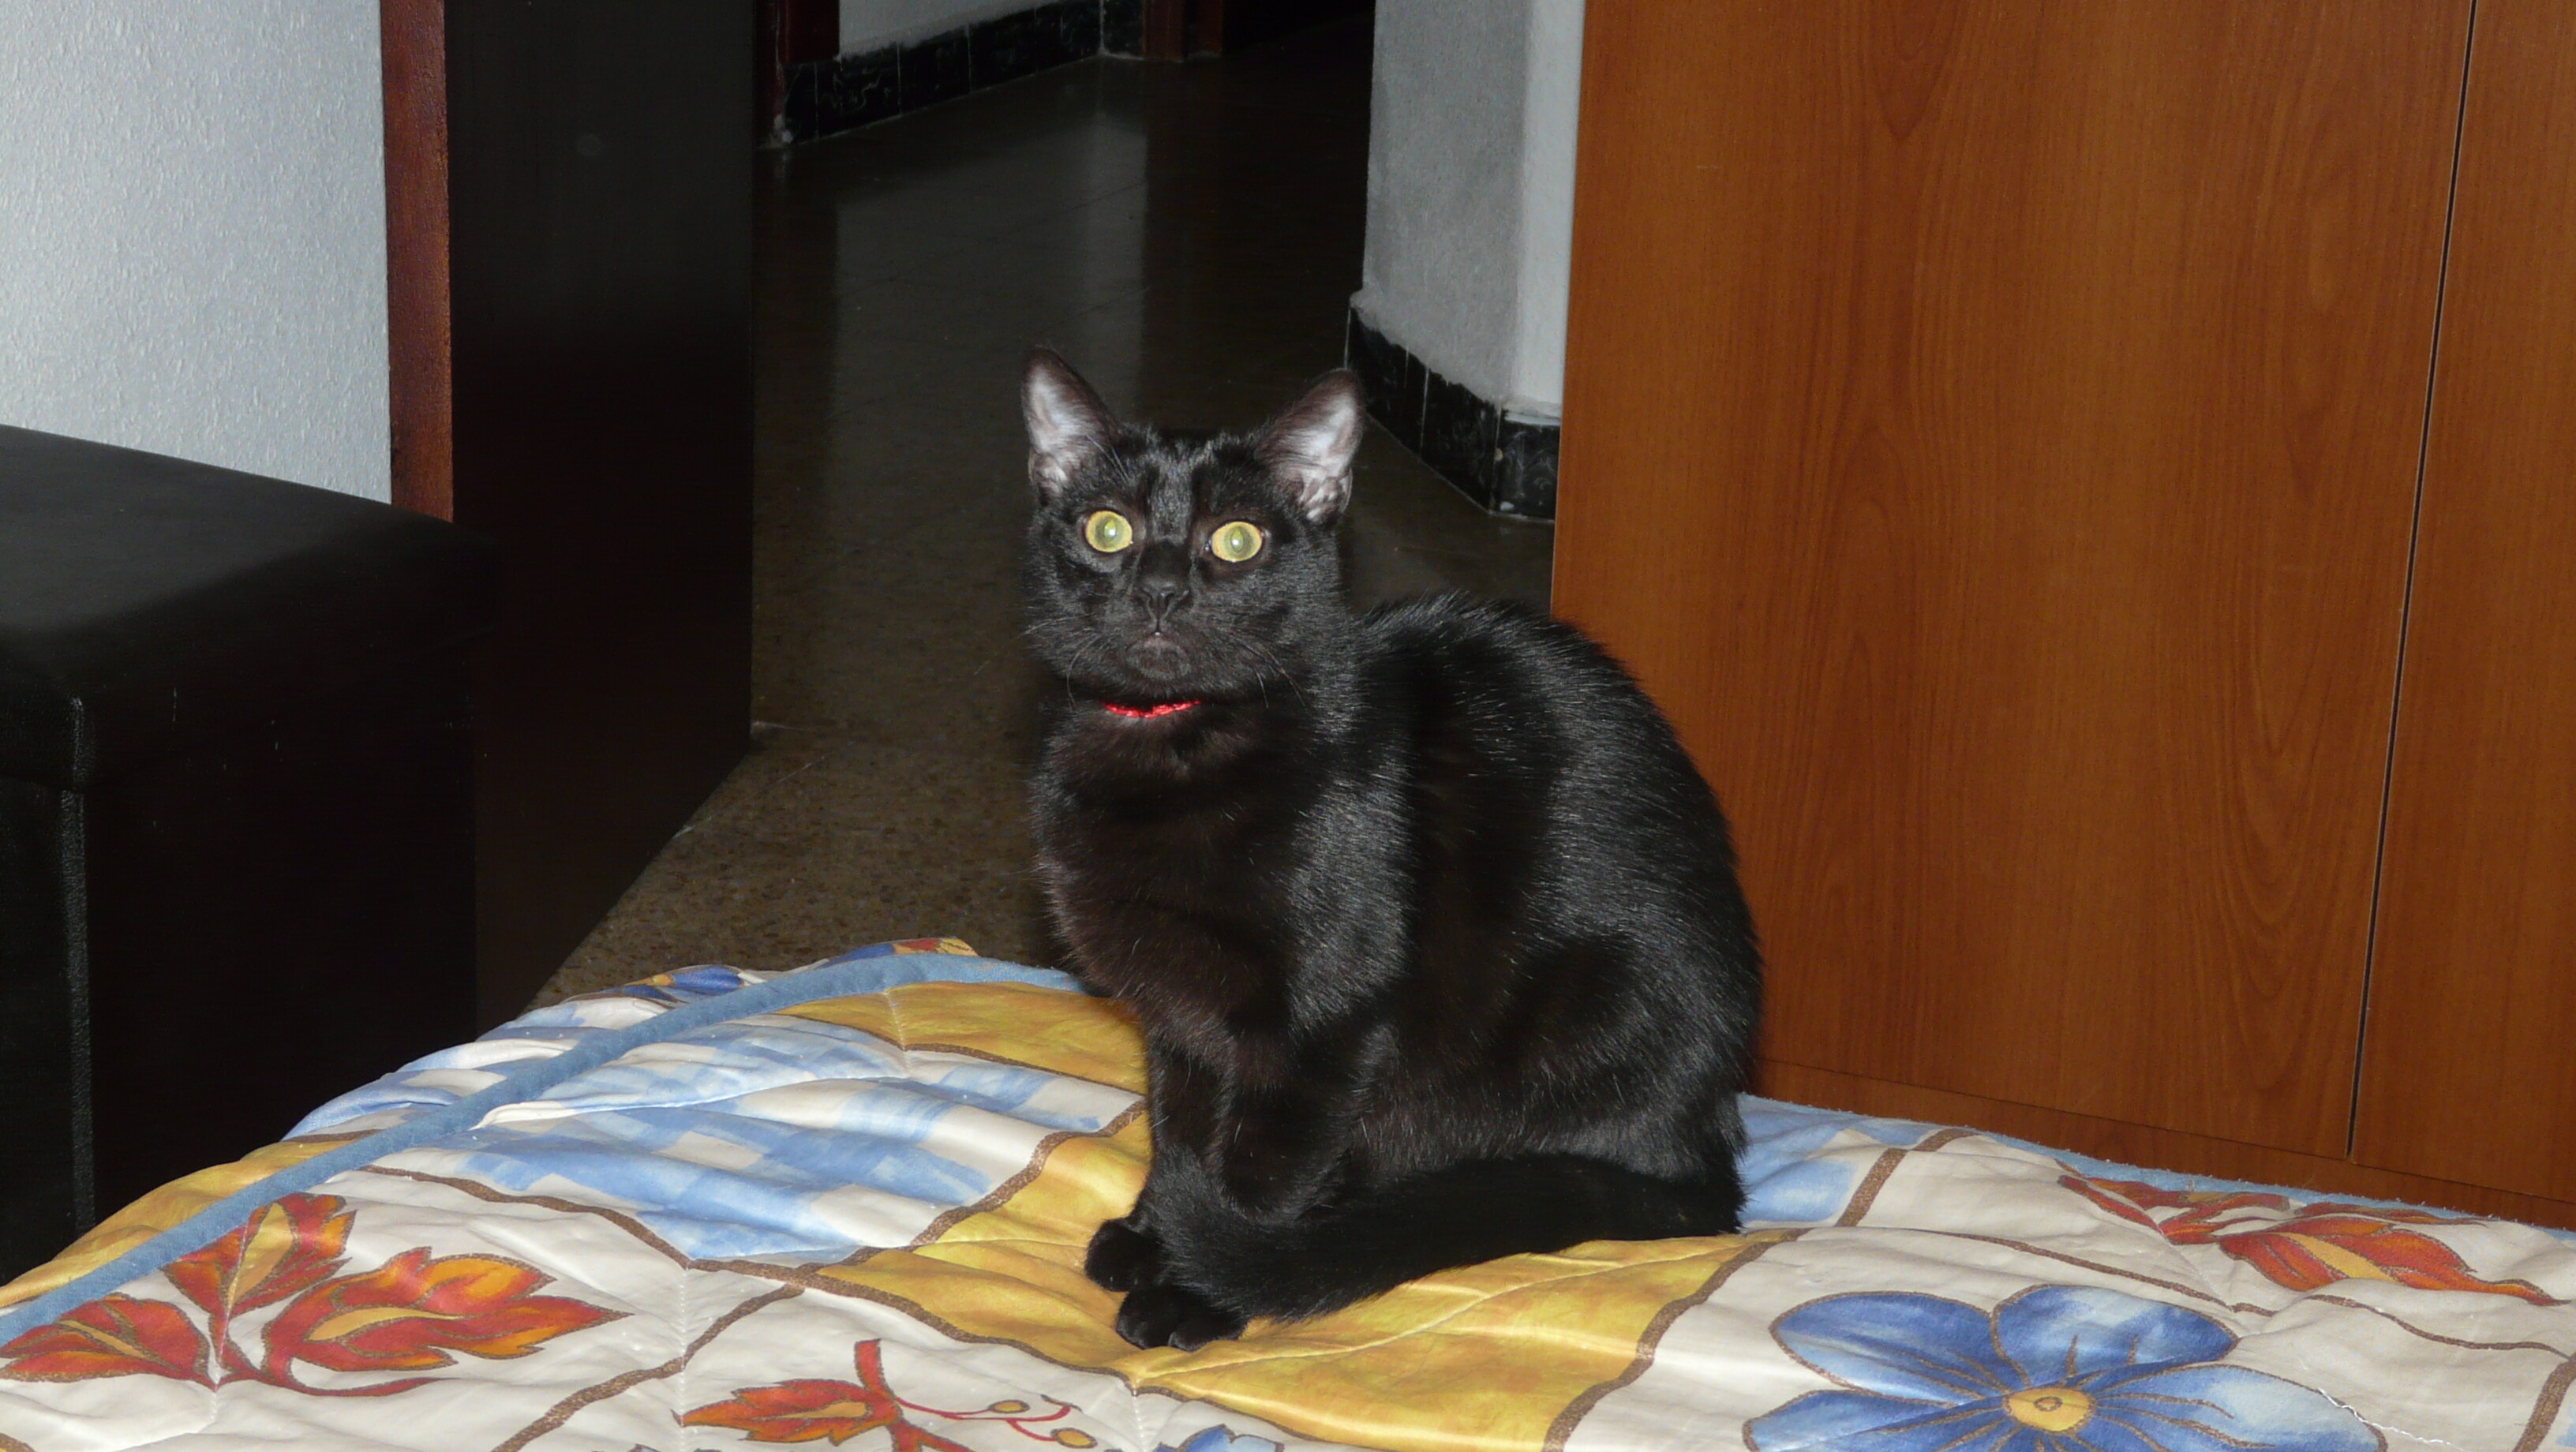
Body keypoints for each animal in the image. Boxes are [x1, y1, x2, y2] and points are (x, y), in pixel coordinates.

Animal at [1019, 348, 1762, 1350]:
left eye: (1238, 540)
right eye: (1108, 529)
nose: (1164, 588)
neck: (1174, 743)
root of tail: (1706, 1159)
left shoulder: (1323, 1023)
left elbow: (1256, 1164)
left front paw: (1202, 1285)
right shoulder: (1180, 1014)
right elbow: (1181, 1127)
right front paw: (1152, 1229)